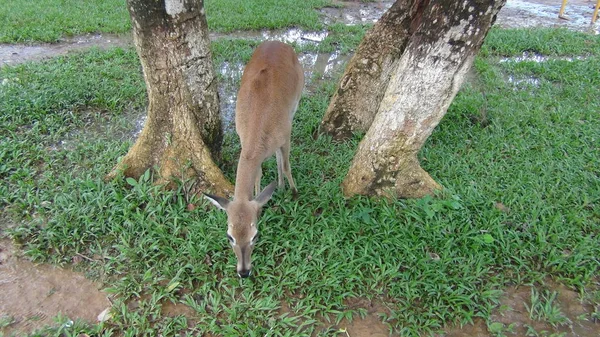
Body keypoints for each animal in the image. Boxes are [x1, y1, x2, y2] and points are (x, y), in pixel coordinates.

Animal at [204, 40, 304, 276]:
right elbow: (258, 174)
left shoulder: (286, 134)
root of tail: (279, 42)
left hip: (296, 103)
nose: (244, 271)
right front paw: (263, 196)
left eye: (255, 235)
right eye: (229, 236)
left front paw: (293, 191)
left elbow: (286, 165)